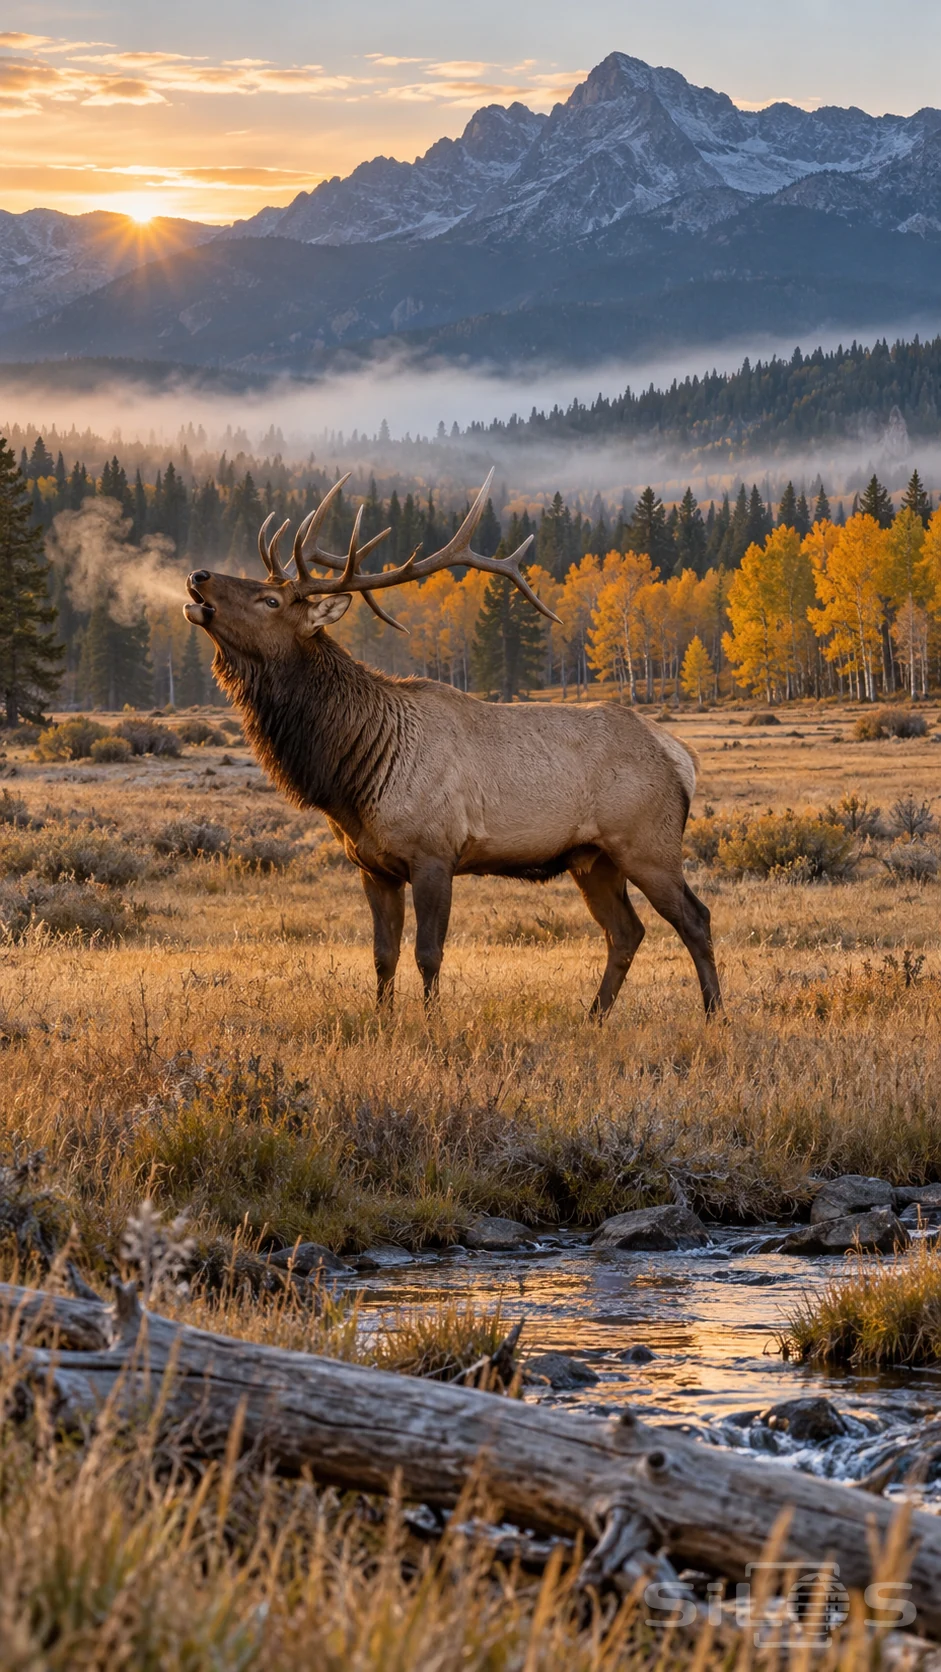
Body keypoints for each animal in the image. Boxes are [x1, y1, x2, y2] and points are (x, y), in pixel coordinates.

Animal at [183, 471, 721, 1019]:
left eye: (271, 601)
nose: (199, 576)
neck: (355, 775)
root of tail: (682, 756)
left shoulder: (435, 853)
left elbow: (428, 953)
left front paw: (430, 1021)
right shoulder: (373, 866)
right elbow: (383, 955)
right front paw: (383, 1021)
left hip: (647, 843)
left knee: (695, 919)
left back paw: (714, 1014)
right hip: (592, 858)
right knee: (625, 932)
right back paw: (594, 1017)